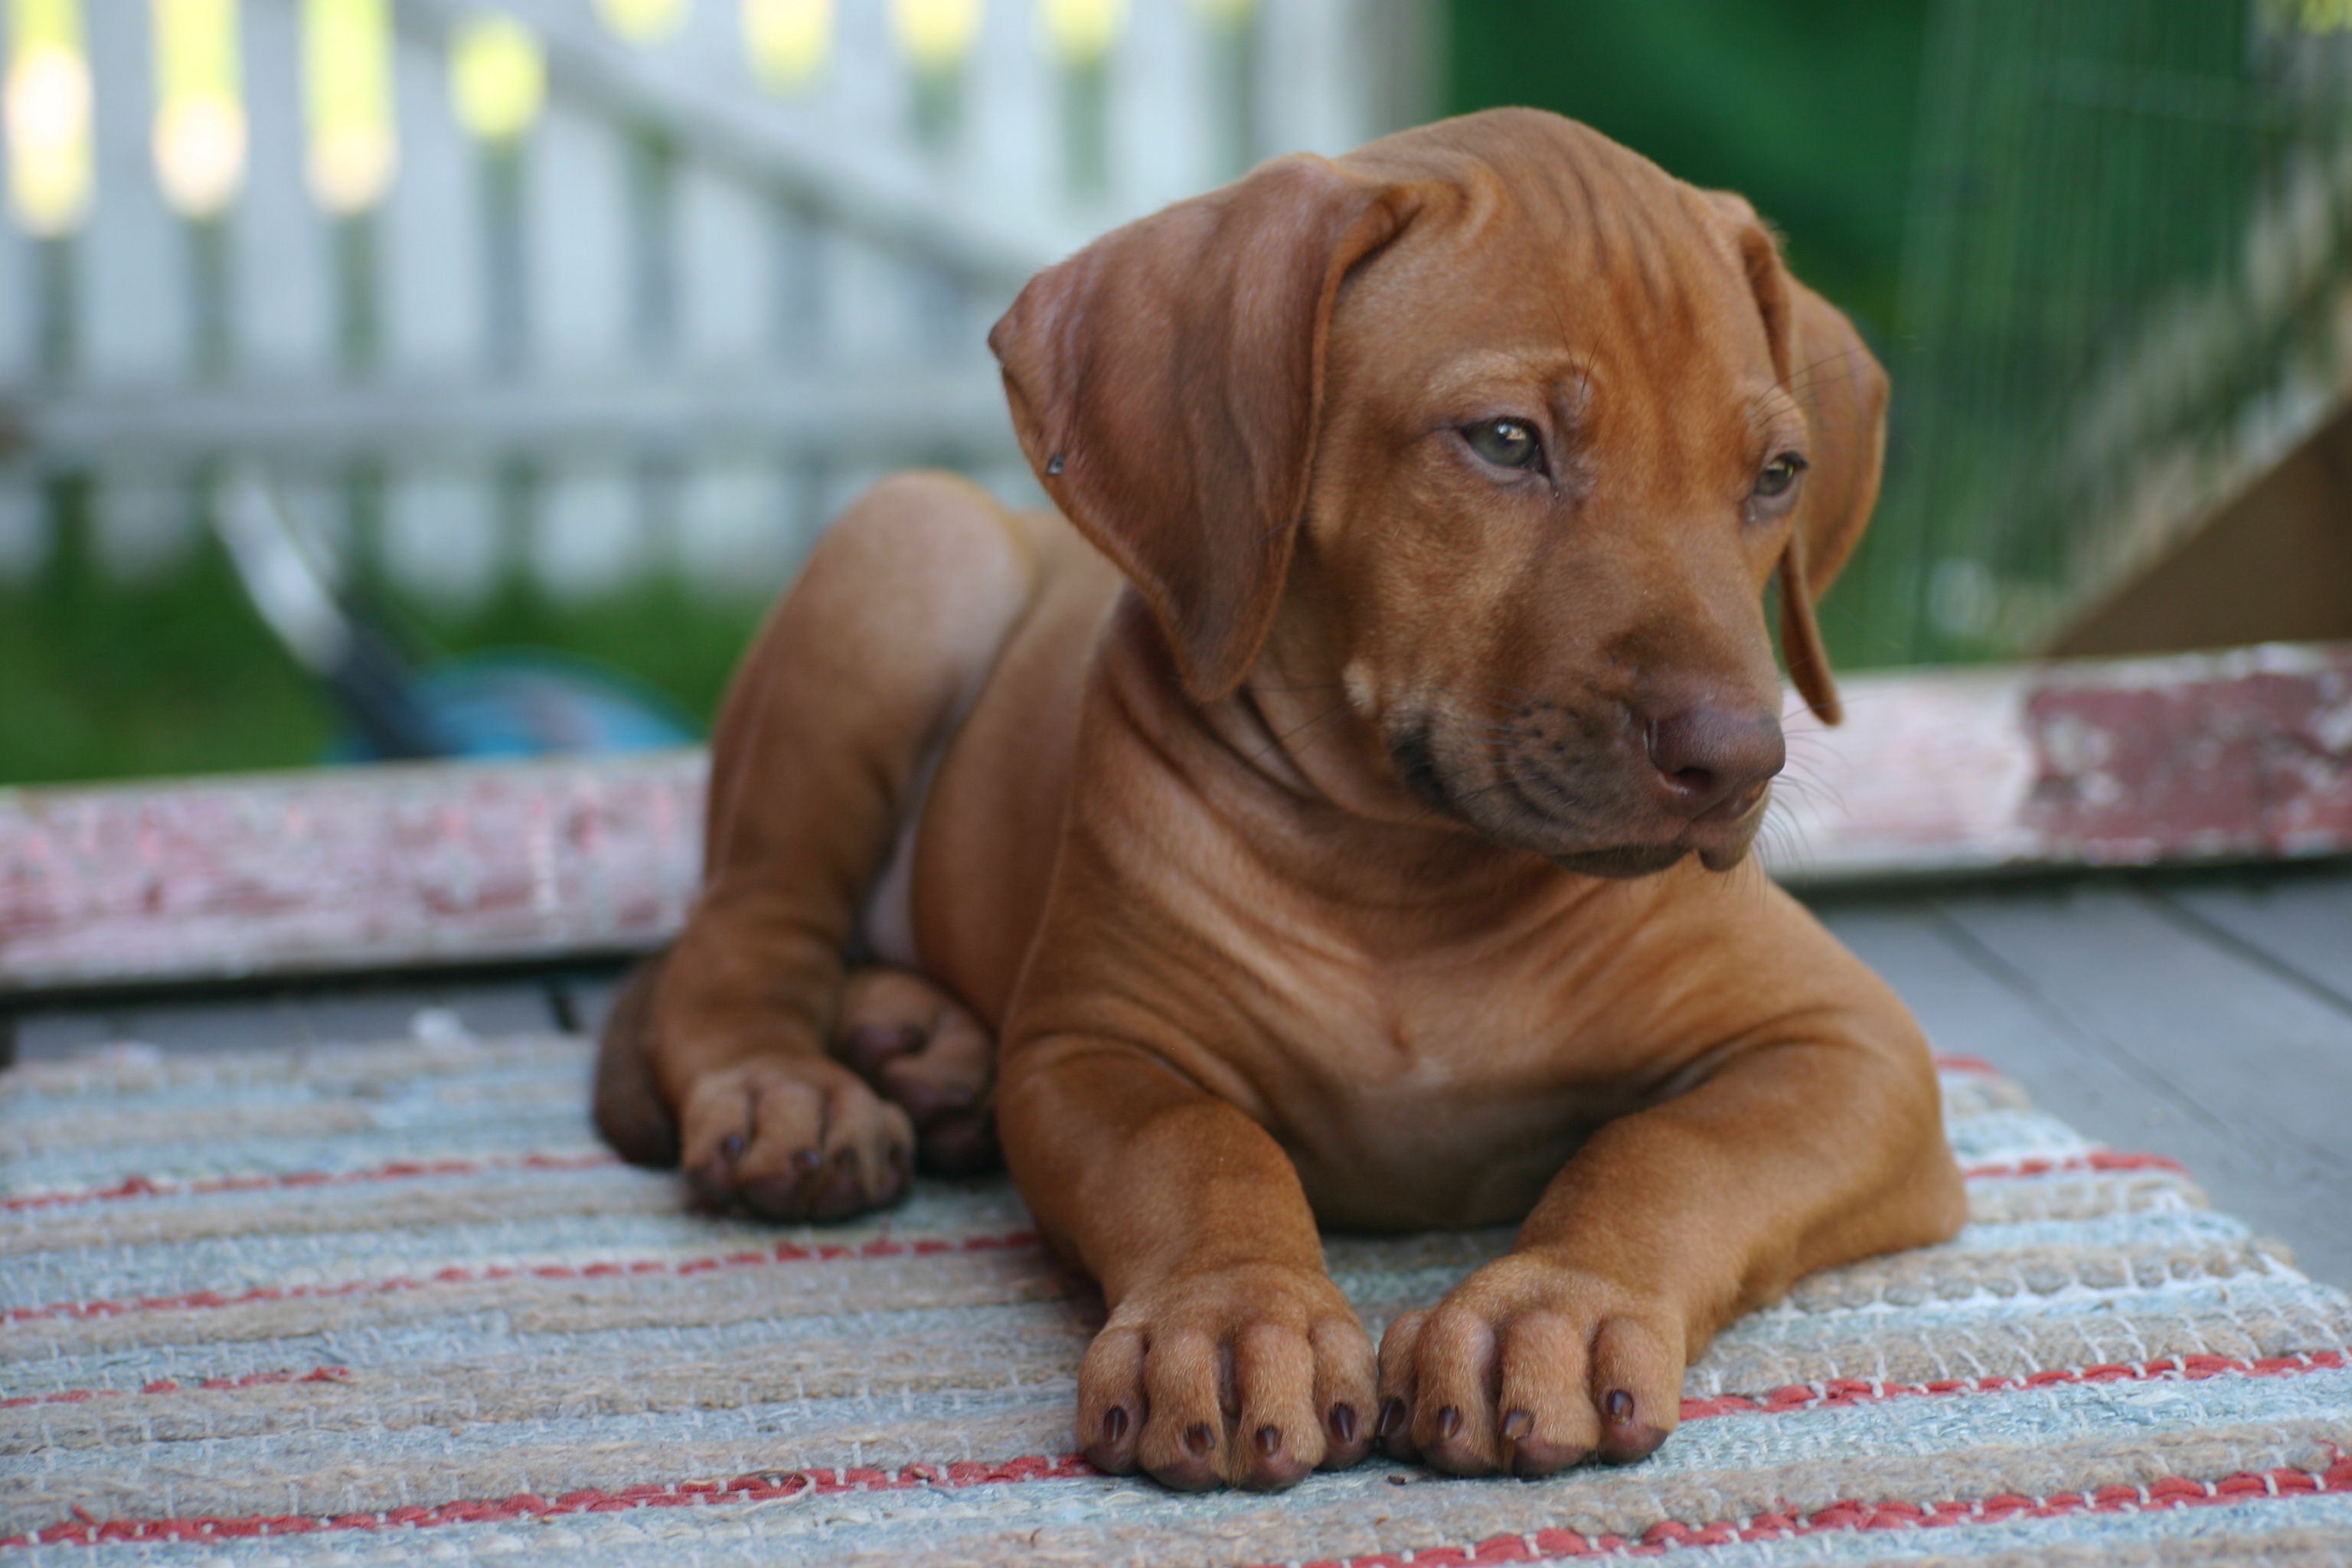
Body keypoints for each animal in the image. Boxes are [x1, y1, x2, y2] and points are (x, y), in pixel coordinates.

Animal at [593, 113, 1966, 1494]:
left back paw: (926, 1050)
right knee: (744, 929)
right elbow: (1199, 1146)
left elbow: (1667, 1150)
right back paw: (791, 1089)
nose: (1738, 762)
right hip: (909, 549)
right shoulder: (1095, 1047)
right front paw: (1234, 1313)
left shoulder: (1851, 1045)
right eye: (1505, 441)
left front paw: (1553, 1304)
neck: (1409, 872)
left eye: (1777, 474)